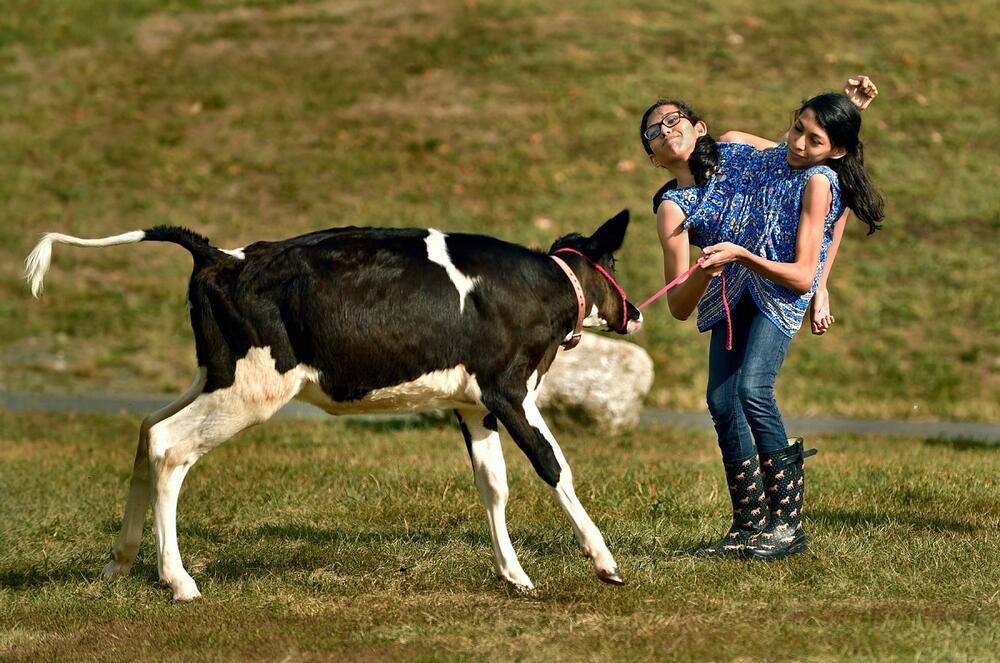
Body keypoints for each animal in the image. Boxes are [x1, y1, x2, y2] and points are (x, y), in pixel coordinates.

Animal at [29, 210, 648, 600]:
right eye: (615, 265)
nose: (637, 313)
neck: (539, 287)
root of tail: (223, 255)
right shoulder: (509, 390)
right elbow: (553, 465)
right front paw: (604, 561)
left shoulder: (474, 404)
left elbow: (492, 484)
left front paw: (514, 575)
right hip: (250, 389)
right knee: (167, 445)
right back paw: (177, 581)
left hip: (215, 376)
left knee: (145, 429)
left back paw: (118, 562)